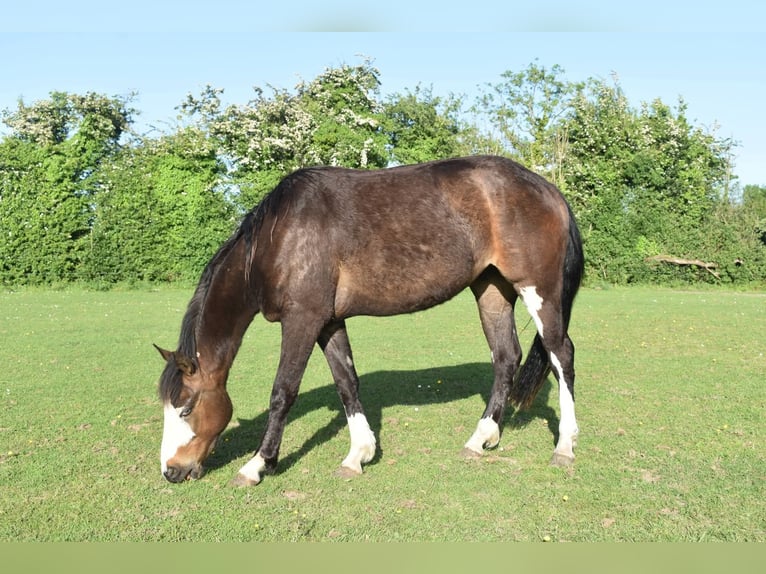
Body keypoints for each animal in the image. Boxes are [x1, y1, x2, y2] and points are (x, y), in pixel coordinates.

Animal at [155, 155, 584, 485]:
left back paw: (564, 445)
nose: (172, 471)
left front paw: (257, 465)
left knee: (561, 353)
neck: (277, 236)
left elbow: (282, 392)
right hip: (492, 289)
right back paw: (480, 439)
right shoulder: (328, 322)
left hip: (538, 290)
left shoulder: (302, 320)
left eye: (186, 409)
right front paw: (357, 455)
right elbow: (347, 383)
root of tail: (548, 189)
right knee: (506, 357)